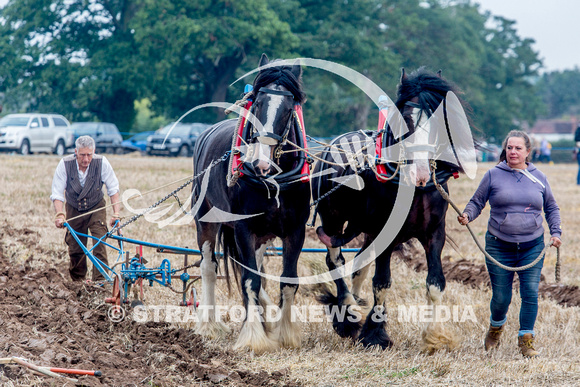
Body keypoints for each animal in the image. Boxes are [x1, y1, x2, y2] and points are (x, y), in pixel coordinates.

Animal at [193, 54, 310, 354]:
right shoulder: (243, 228)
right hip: (206, 220)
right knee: (209, 267)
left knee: (255, 267)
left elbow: (287, 280)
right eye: (256, 103)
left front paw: (284, 333)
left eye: (289, 109)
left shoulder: (296, 230)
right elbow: (249, 280)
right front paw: (254, 337)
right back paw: (209, 325)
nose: (261, 163)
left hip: (262, 235)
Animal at [312, 68, 472, 354]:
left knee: (359, 264)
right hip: (332, 219)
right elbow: (382, 282)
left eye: (436, 122)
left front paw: (434, 337)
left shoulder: (435, 234)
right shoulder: (384, 235)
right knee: (335, 261)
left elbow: (435, 283)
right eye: (404, 120)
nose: (421, 173)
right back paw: (347, 315)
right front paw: (375, 335)